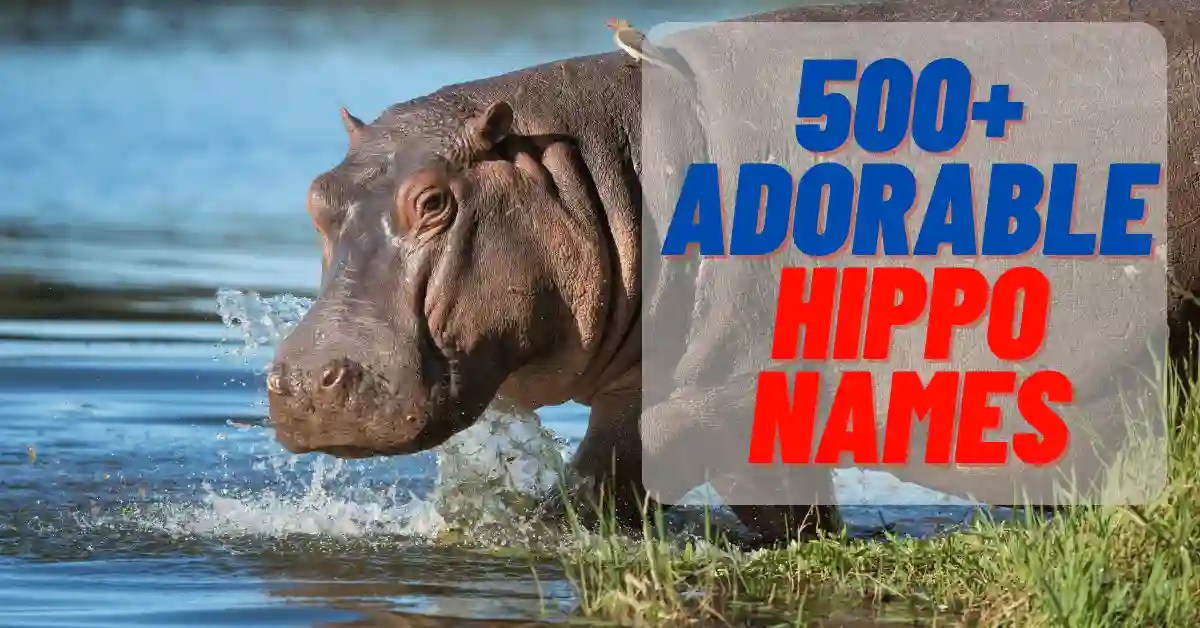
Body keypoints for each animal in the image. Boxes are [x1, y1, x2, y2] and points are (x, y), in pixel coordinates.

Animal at [268, 0, 1200, 542]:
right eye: (316, 196)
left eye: (433, 202)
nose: (310, 377)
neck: (603, 165)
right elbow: (761, 501)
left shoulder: (733, 385)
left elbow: (611, 474)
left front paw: (524, 527)